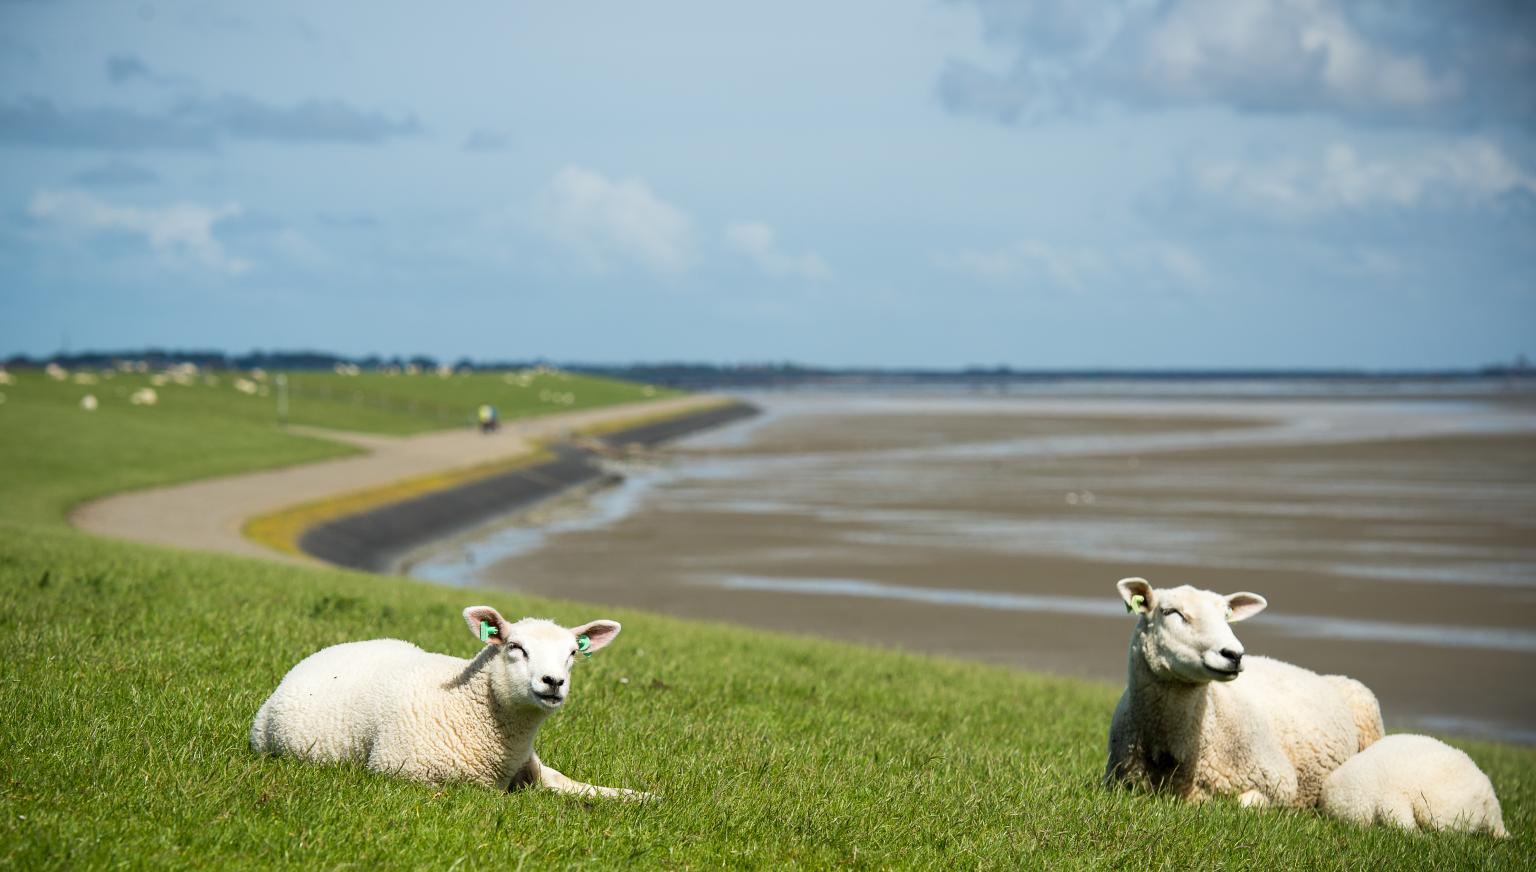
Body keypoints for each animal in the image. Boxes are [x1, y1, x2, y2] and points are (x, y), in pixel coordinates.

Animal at [251, 601, 648, 798]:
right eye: (515, 647)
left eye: (572, 653)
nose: (554, 682)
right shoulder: (403, 772)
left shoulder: (531, 766)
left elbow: (571, 784)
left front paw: (639, 798)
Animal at [1099, 574, 1388, 804]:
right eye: (1171, 612)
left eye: (1226, 616)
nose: (1234, 654)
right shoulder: (1120, 783)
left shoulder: (1280, 783)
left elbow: (1243, 803)